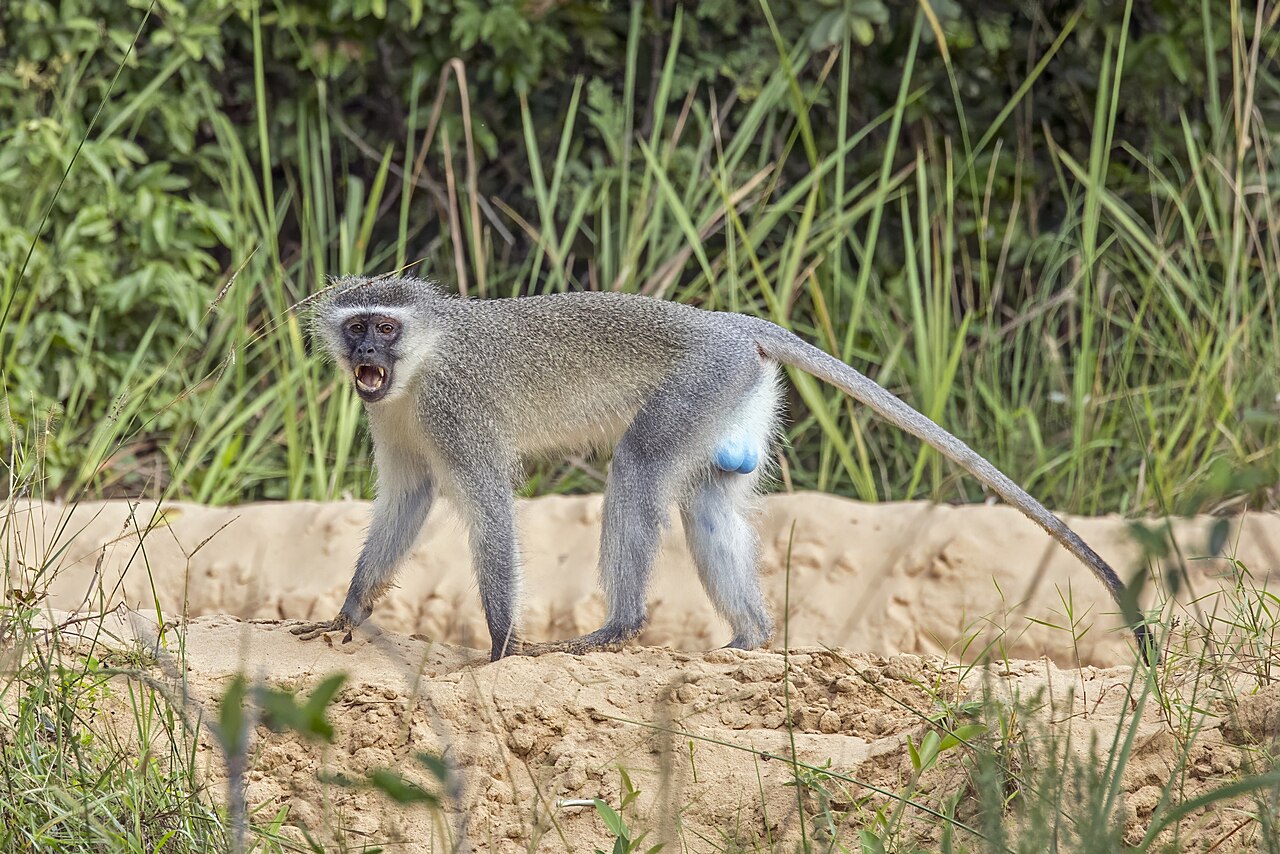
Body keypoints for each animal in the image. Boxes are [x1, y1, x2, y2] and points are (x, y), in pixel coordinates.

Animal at [290, 275, 1157, 664]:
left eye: (384, 327)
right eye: (356, 326)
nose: (364, 352)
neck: (417, 365)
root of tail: (725, 323)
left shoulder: (453, 409)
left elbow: (489, 507)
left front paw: (500, 647)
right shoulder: (392, 416)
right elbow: (408, 498)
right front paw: (348, 612)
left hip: (701, 376)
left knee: (640, 468)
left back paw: (617, 628)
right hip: (734, 390)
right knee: (706, 500)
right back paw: (751, 638)